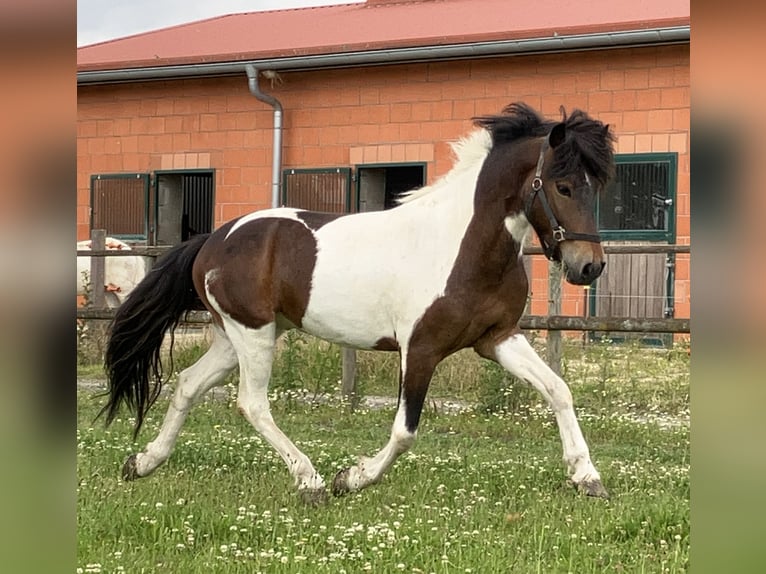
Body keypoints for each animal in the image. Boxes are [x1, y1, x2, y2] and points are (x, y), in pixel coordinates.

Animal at [101, 102, 615, 504]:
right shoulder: (420, 349)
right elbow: (405, 430)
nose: (589, 267)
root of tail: (214, 238)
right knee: (252, 403)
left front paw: (587, 476)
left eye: (597, 187)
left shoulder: (499, 338)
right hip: (253, 335)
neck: (461, 244)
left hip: (237, 337)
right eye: (562, 186)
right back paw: (309, 480)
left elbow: (558, 390)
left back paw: (142, 463)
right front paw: (351, 478)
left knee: (188, 384)